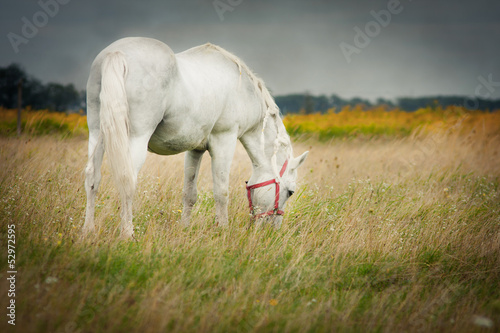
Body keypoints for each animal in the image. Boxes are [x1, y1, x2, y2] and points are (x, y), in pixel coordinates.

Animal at [82, 37, 308, 236]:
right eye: (290, 191)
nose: (273, 228)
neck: (244, 91)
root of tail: (116, 53)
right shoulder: (224, 140)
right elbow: (221, 191)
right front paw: (222, 229)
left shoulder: (195, 149)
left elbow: (189, 193)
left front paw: (185, 227)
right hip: (136, 138)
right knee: (127, 180)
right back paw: (127, 233)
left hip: (98, 133)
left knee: (93, 177)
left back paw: (88, 230)